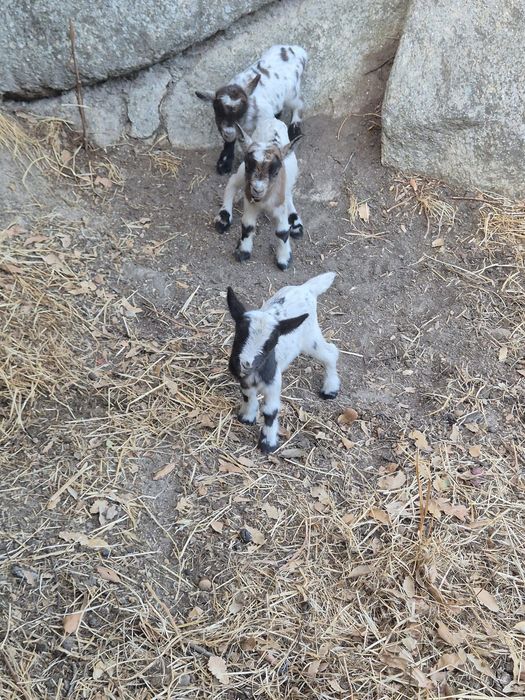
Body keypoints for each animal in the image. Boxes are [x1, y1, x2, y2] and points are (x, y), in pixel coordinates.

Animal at [196, 44, 307, 174]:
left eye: (241, 112)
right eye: (218, 112)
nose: (228, 132)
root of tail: (297, 50)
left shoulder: (264, 118)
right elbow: (230, 142)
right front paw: (224, 164)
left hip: (292, 93)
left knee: (299, 104)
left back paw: (294, 130)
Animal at [215, 118, 303, 270]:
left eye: (275, 172)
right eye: (248, 167)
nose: (257, 189)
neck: (264, 201)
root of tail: (273, 120)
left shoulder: (279, 206)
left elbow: (282, 231)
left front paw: (284, 259)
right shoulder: (250, 203)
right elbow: (247, 225)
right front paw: (243, 252)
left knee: (289, 195)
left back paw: (296, 224)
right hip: (240, 175)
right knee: (232, 182)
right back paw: (224, 217)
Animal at [227, 272, 340, 453]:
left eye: (271, 344)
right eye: (239, 334)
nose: (245, 363)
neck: (255, 373)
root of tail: (305, 288)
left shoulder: (274, 384)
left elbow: (270, 412)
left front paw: (268, 443)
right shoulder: (245, 381)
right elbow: (248, 396)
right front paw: (247, 417)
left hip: (310, 337)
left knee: (330, 352)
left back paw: (330, 389)